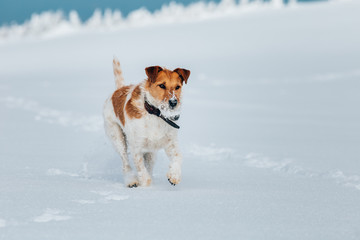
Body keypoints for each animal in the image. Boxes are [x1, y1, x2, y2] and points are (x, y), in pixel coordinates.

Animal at [102, 58, 190, 188]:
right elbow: (141, 170)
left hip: (151, 153)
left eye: (177, 87)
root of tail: (118, 90)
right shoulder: (136, 148)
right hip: (117, 137)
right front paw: (146, 187)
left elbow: (178, 156)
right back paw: (131, 180)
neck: (155, 114)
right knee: (125, 161)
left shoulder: (171, 143)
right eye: (162, 85)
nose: (173, 102)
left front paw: (174, 176)